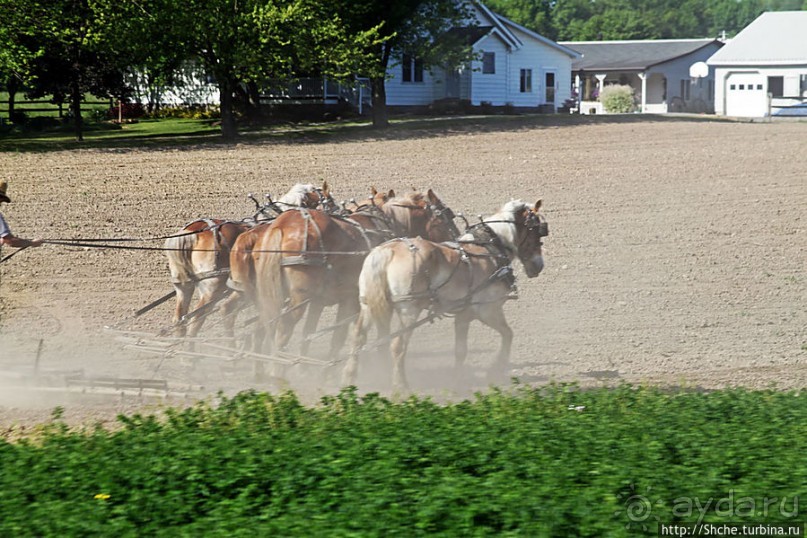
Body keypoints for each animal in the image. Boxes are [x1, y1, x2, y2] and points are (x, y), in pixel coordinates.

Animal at [165, 182, 334, 338]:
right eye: (331, 203)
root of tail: (191, 232)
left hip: (184, 287)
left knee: (179, 319)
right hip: (211, 288)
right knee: (197, 319)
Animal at [227, 186, 460, 370]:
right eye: (446, 217)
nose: (457, 240)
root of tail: (279, 226)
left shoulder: (319, 301)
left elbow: (309, 332)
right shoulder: (352, 301)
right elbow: (342, 337)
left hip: (269, 293)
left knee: (262, 324)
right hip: (298, 298)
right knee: (281, 328)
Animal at [342, 199, 548, 392]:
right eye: (537, 231)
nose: (539, 266)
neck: (489, 249)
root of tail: (387, 251)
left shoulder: (463, 315)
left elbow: (461, 350)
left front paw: (457, 382)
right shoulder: (487, 309)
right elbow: (507, 334)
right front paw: (495, 370)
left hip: (368, 305)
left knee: (358, 338)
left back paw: (350, 380)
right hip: (409, 311)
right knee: (398, 346)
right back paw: (401, 386)